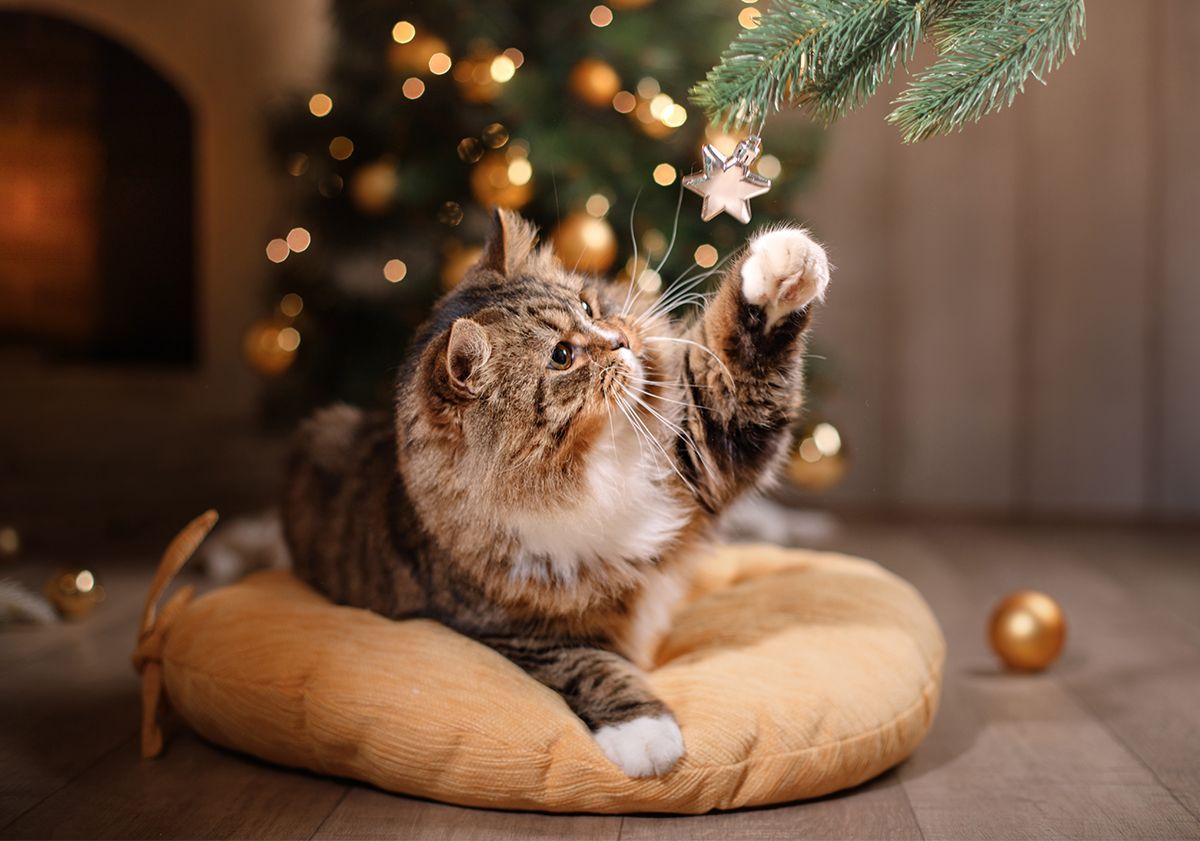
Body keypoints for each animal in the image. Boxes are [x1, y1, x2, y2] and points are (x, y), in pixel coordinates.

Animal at [280, 208, 830, 772]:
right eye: (562, 356)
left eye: (587, 306)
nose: (621, 338)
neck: (592, 467)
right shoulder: (514, 635)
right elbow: (590, 668)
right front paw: (647, 737)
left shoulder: (700, 448)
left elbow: (737, 365)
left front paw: (783, 263)